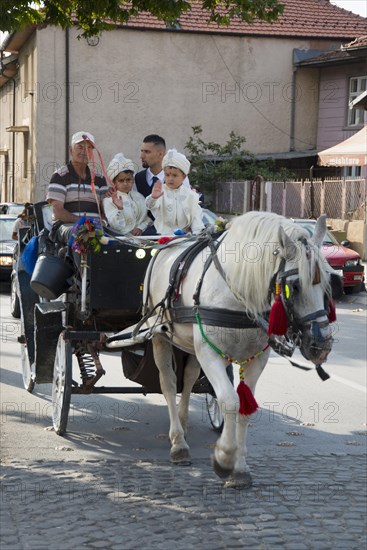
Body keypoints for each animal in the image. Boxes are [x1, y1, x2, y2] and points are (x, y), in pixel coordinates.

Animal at [142, 213, 334, 490]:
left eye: (327, 283)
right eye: (295, 286)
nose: (322, 346)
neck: (237, 292)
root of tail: (165, 243)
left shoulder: (257, 358)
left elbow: (244, 405)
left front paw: (240, 468)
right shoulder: (210, 354)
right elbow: (230, 401)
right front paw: (224, 457)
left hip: (190, 344)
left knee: (188, 379)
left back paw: (184, 422)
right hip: (159, 335)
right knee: (168, 383)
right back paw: (178, 443)